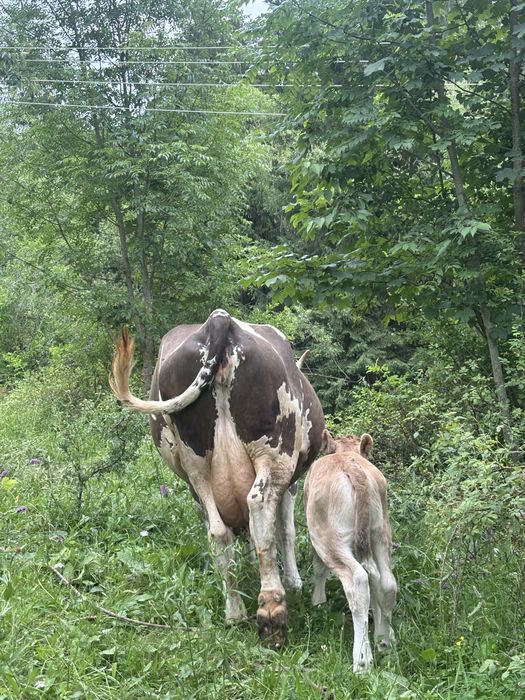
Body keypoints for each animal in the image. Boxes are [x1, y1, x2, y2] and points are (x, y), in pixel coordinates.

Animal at [109, 309, 325, 647]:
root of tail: (219, 320)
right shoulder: (291, 483)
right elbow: (286, 530)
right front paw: (293, 581)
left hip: (196, 466)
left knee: (219, 531)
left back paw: (235, 612)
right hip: (274, 450)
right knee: (260, 505)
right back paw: (272, 612)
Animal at [304, 431, 397, 673]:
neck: (344, 451)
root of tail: (351, 466)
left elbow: (318, 569)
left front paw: (317, 602)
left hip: (329, 540)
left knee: (358, 580)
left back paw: (362, 661)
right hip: (380, 532)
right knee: (386, 582)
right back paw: (384, 641)